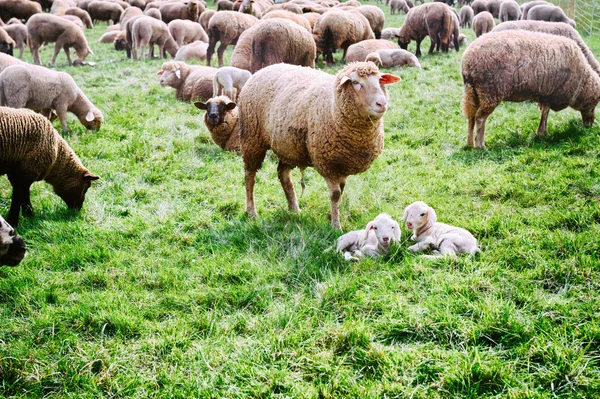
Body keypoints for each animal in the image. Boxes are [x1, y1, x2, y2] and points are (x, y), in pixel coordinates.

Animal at [238, 61, 398, 230]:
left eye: (380, 80)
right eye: (356, 82)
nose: (382, 103)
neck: (333, 108)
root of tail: (264, 68)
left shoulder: (341, 165)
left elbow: (341, 192)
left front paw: (333, 216)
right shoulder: (328, 164)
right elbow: (335, 194)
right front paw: (335, 225)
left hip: (289, 147)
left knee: (283, 174)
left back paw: (294, 209)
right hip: (252, 138)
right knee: (250, 175)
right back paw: (251, 211)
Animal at [460, 30, 600, 148]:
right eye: (595, 103)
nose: (590, 125)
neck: (582, 83)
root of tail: (467, 61)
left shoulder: (545, 94)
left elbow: (544, 112)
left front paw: (542, 132)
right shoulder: (552, 94)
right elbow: (545, 112)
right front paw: (542, 132)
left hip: (473, 92)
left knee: (471, 117)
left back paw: (469, 143)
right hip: (490, 91)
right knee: (480, 118)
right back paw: (480, 145)